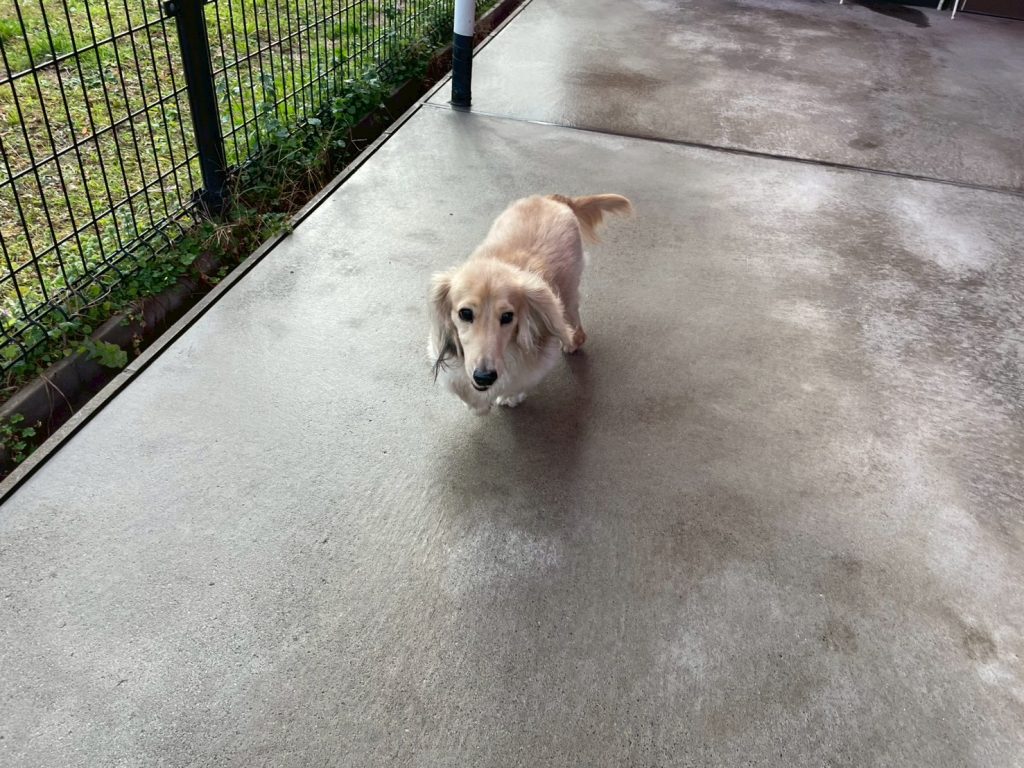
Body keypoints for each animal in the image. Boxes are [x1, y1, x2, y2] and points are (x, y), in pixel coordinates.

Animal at [428, 193, 631, 415]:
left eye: (507, 316)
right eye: (465, 313)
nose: (484, 377)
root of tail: (553, 198)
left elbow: (520, 381)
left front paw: (508, 397)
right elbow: (460, 386)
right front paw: (476, 404)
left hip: (567, 296)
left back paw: (572, 342)